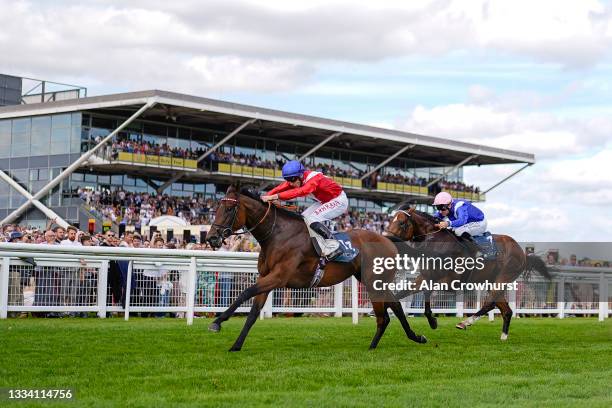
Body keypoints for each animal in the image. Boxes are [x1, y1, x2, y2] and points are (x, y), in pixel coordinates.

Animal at [206, 186, 426, 350]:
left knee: (387, 313)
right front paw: (236, 345)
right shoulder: (266, 277)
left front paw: (217, 321)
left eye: (229, 209)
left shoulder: (278, 277)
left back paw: (380, 344)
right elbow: (253, 312)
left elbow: (245, 292)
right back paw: (412, 337)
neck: (277, 234)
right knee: (394, 307)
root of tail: (386, 238)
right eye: (216, 208)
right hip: (369, 279)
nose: (211, 238)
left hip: (374, 281)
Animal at [384, 206, 552, 340]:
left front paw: (432, 321)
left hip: (503, 278)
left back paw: (465, 322)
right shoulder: (424, 277)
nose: (386, 240)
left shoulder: (449, 282)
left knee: (490, 303)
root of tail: (523, 253)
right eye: (390, 220)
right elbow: (400, 294)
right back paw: (503, 337)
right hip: (492, 281)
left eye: (401, 223)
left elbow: (426, 293)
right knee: (505, 310)